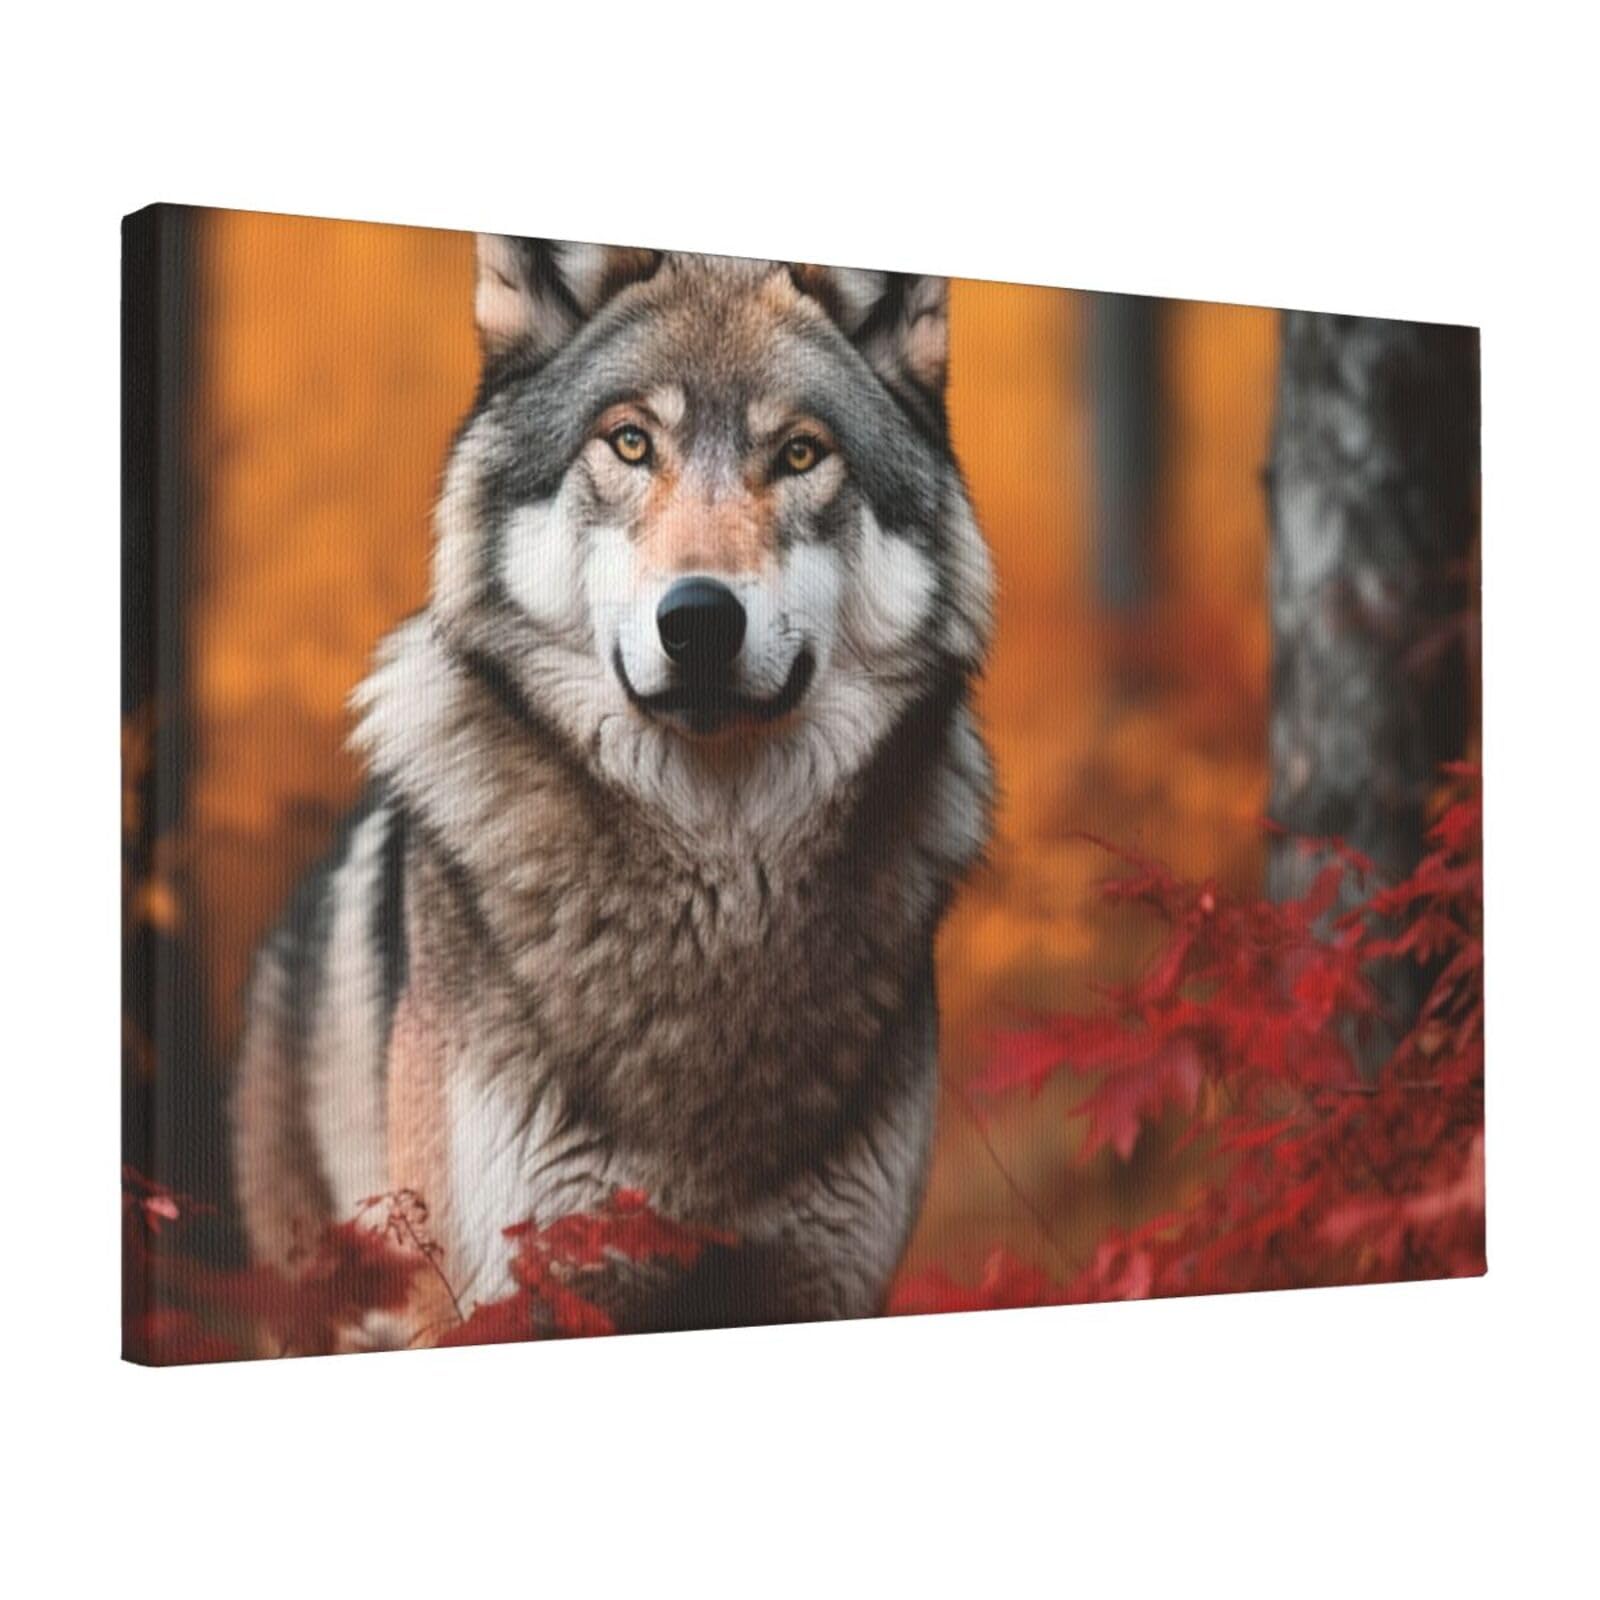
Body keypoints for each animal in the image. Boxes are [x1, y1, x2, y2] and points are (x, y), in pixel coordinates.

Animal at [231, 237, 996, 1345]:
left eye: (800, 455)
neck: (719, 893)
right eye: (631, 443)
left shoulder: (826, 1285)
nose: (699, 619)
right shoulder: (493, 1297)